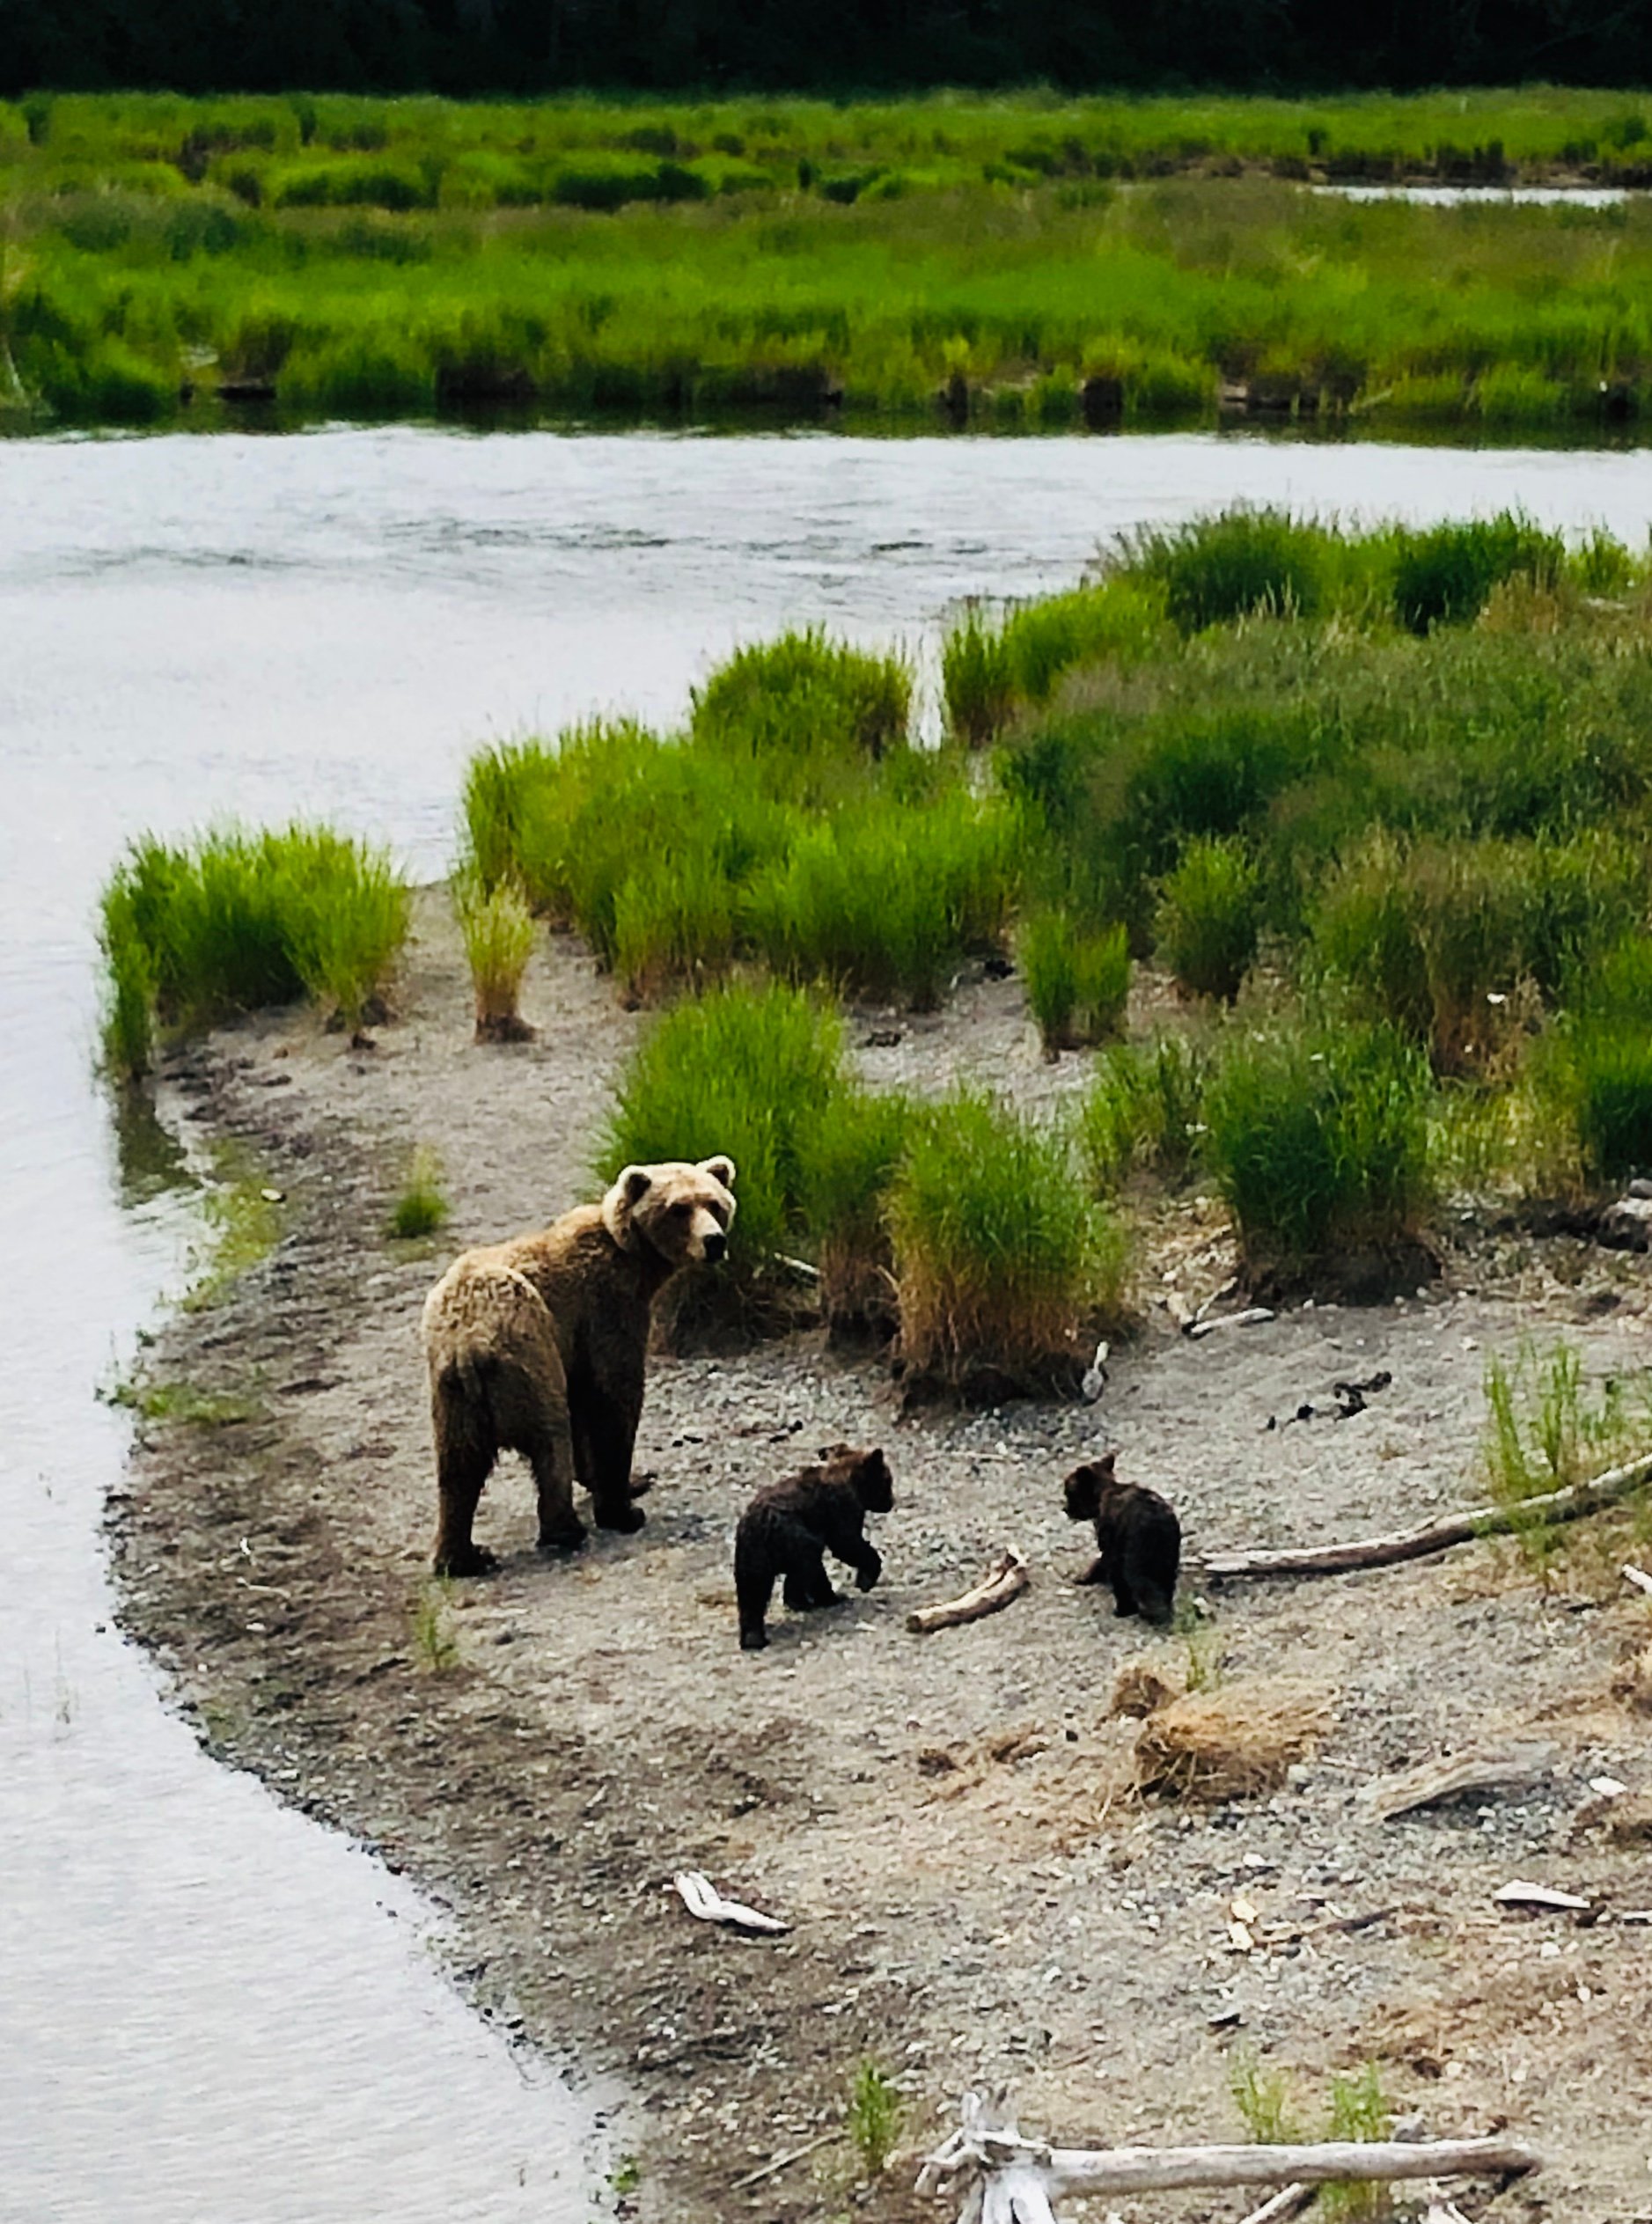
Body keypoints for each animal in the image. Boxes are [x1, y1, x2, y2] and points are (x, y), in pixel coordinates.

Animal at [420, 1157, 736, 1576]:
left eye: (714, 1203)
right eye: (679, 1208)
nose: (714, 1241)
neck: (638, 1262)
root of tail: (468, 1343)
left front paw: (630, 1480)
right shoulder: (605, 1308)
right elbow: (614, 1399)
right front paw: (623, 1504)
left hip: (453, 1395)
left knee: (458, 1468)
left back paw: (463, 1556)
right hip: (530, 1356)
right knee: (550, 1437)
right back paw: (565, 1530)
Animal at [734, 1443, 893, 1652]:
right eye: (888, 1480)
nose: (891, 1502)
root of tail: (762, 1522)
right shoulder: (842, 1508)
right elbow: (847, 1543)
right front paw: (866, 1579)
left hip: (751, 1552)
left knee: (752, 1590)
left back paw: (753, 1637)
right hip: (791, 1535)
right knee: (807, 1567)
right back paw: (827, 1598)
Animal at [1062, 1453, 1181, 1626]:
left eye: (1069, 1492)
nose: (1065, 1509)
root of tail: (1155, 1520)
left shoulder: (1112, 1540)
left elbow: (1112, 1569)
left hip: (1138, 1549)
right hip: (1167, 1550)